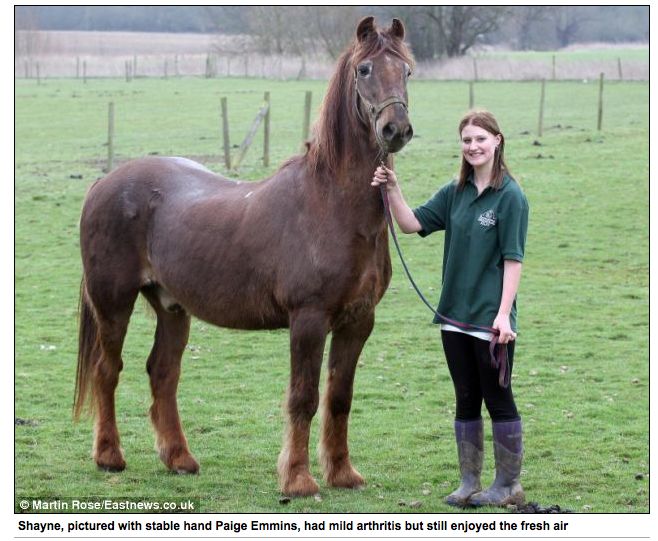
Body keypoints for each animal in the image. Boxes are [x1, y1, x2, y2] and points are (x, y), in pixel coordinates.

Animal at [74, 15, 412, 498]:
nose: (395, 129)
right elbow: (304, 397)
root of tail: (104, 183)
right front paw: (298, 479)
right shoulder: (308, 320)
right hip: (113, 303)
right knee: (108, 369)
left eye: (406, 70)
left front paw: (343, 474)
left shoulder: (358, 322)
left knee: (163, 372)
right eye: (364, 70)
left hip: (172, 307)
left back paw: (179, 459)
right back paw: (109, 457)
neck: (330, 204)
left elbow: (339, 398)